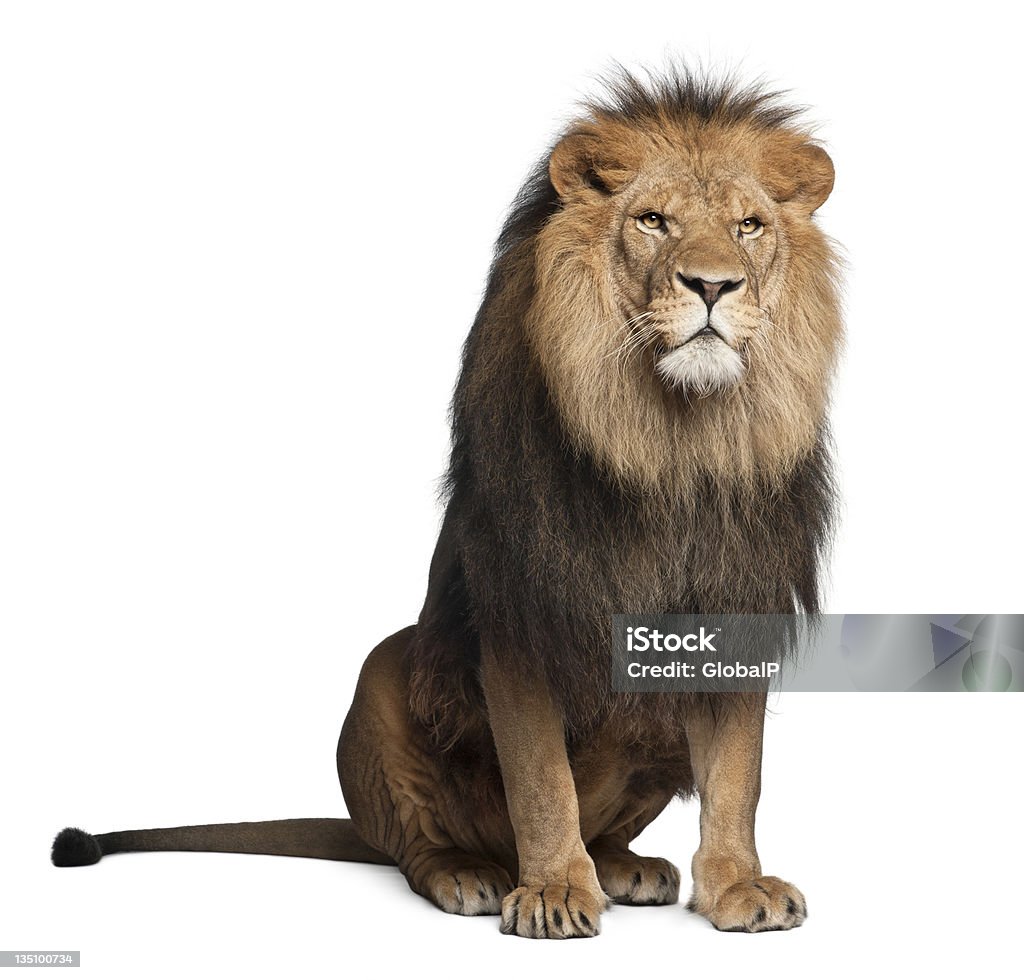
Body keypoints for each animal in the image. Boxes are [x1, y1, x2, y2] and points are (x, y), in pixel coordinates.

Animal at [51, 65, 839, 938]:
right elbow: (541, 779)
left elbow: (738, 773)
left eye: (749, 227)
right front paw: (552, 892)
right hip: (381, 678)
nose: (713, 285)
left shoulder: (738, 601)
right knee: (416, 846)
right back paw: (475, 873)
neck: (672, 440)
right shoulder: (520, 613)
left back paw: (622, 865)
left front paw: (738, 885)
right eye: (653, 220)